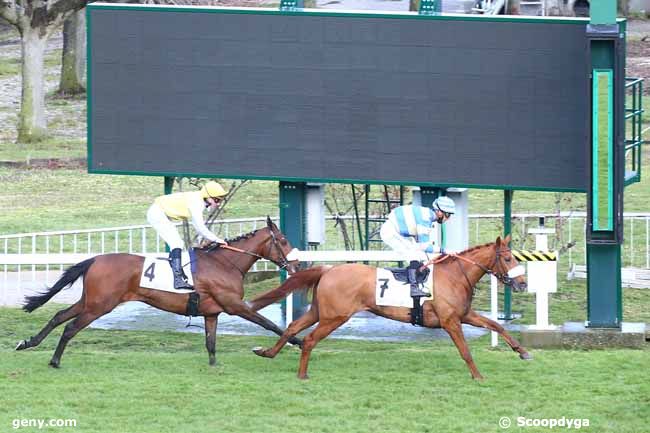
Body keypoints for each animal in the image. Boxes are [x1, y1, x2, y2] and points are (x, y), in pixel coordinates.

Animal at [14, 216, 298, 368]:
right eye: (283, 241)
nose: (295, 265)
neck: (225, 263)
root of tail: (95, 259)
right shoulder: (234, 305)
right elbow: (269, 324)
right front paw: (296, 341)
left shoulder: (212, 313)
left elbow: (211, 342)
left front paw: (214, 366)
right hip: (99, 306)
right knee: (70, 327)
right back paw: (54, 360)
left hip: (90, 301)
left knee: (59, 316)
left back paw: (28, 342)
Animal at [249, 235, 532, 380]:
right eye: (508, 258)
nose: (522, 283)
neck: (454, 276)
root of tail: (329, 269)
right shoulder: (450, 321)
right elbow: (465, 351)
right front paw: (478, 376)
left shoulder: (464, 315)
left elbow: (495, 325)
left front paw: (522, 351)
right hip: (335, 317)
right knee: (308, 339)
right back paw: (302, 374)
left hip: (319, 311)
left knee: (292, 326)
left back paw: (267, 352)